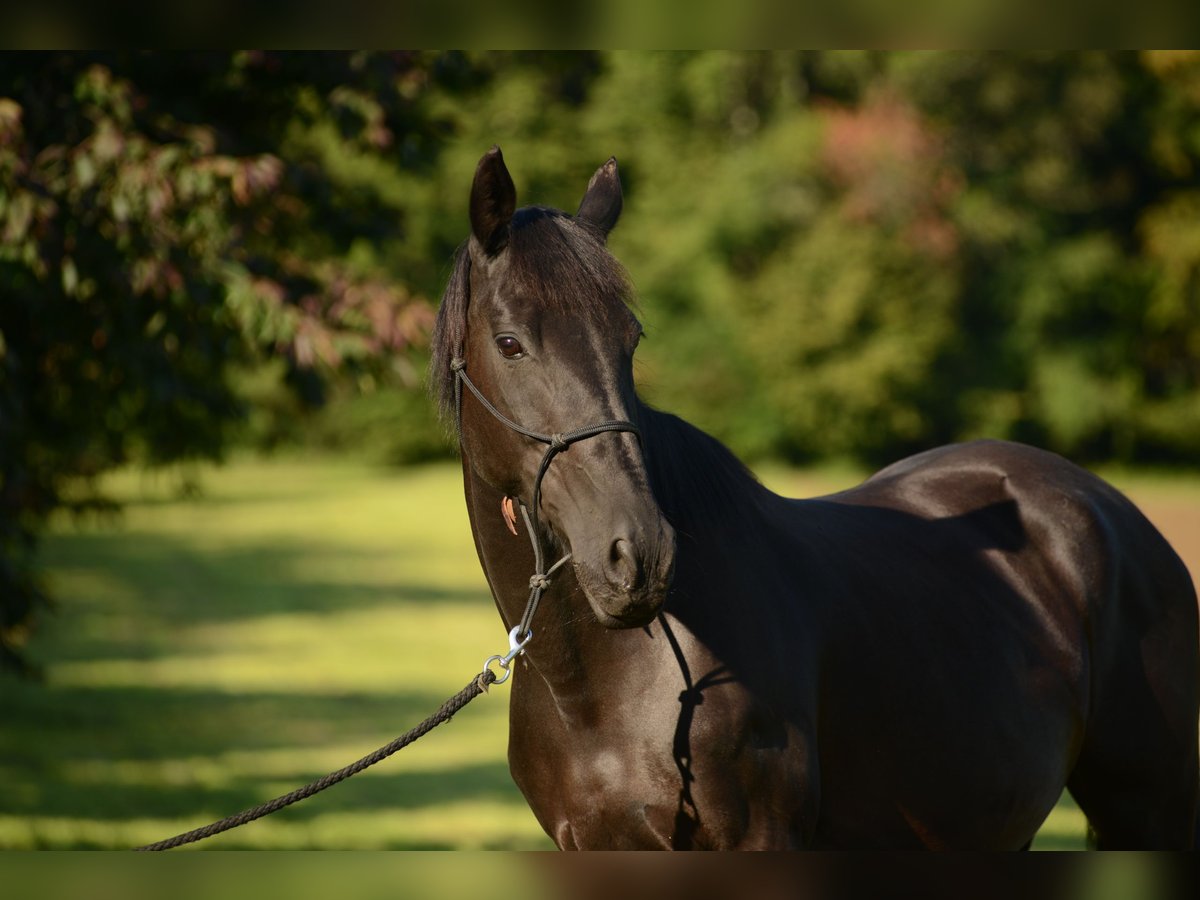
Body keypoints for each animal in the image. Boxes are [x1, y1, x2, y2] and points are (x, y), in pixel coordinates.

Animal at [434, 148, 1200, 854]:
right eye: (510, 343)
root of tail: (1107, 509)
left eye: (632, 338)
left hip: (1151, 811)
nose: (639, 555)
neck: (606, 689)